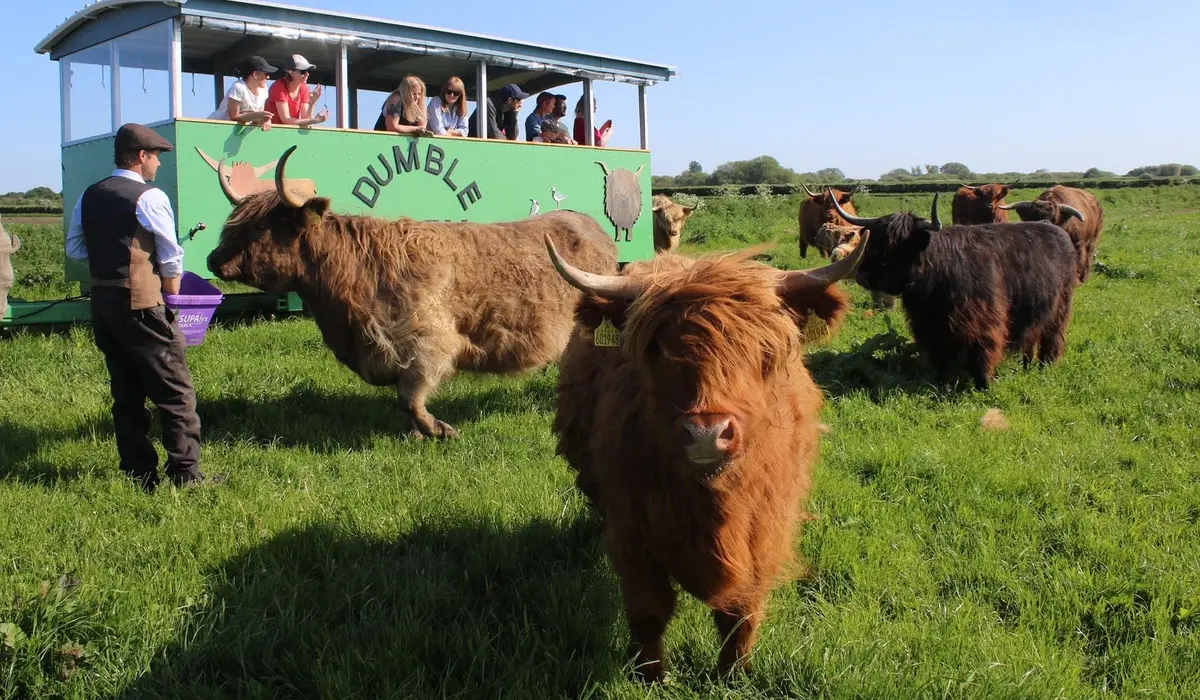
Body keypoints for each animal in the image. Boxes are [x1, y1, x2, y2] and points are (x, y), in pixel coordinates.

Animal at [206, 145, 619, 440]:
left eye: (261, 226)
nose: (213, 260)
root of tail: (587, 222)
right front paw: (419, 434)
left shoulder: (427, 344)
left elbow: (409, 398)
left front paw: (438, 430)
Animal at [545, 231, 867, 682]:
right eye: (657, 348)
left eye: (763, 348)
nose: (706, 435)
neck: (712, 505)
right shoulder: (631, 533)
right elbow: (649, 610)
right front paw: (650, 675)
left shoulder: (765, 530)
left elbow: (740, 610)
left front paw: (734, 674)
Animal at [829, 190, 1078, 389]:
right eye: (871, 242)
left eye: (893, 248)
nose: (862, 276)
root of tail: (1053, 227)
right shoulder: (929, 326)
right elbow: (940, 357)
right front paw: (942, 384)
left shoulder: (985, 319)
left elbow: (983, 350)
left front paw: (984, 384)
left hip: (1061, 307)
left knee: (1052, 337)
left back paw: (1045, 366)